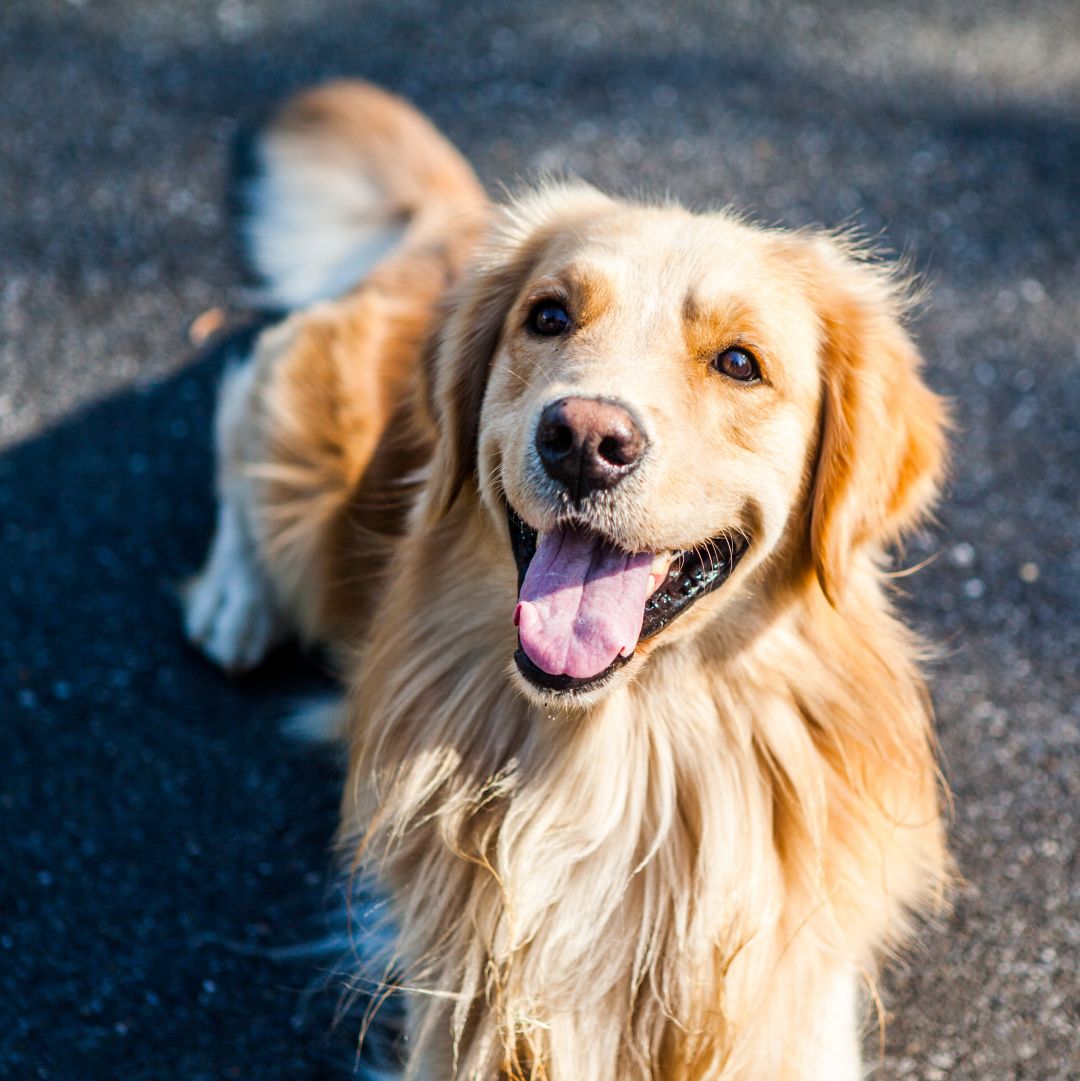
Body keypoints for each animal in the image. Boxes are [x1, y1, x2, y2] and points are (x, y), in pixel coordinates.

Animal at [183, 79, 947, 1076]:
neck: (622, 755)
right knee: (240, 406)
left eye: (740, 362)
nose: (583, 438)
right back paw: (233, 597)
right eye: (548, 316)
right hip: (305, 467)